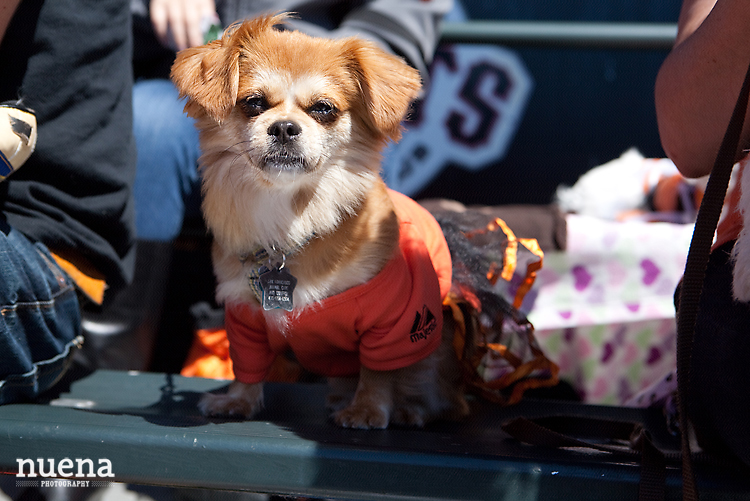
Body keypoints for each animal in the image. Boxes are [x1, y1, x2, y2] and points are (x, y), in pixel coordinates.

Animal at [171, 13, 470, 428]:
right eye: (253, 103)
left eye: (323, 109)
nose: (283, 126)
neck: (291, 220)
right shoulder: (244, 315)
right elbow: (247, 366)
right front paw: (237, 401)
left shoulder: (392, 321)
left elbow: (377, 372)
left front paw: (366, 409)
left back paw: (409, 409)